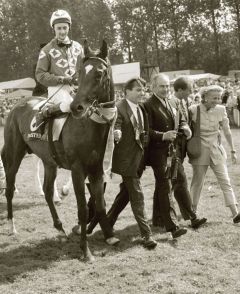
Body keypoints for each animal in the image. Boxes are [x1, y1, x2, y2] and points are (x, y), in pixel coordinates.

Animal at [1, 39, 118, 262]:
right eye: (80, 73)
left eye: (99, 74)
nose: (77, 107)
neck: (88, 125)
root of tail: (16, 106)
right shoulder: (78, 170)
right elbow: (82, 209)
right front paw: (85, 251)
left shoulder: (96, 169)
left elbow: (100, 204)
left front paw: (109, 236)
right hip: (14, 155)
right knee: (10, 189)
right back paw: (11, 226)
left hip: (49, 162)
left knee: (47, 192)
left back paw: (60, 229)